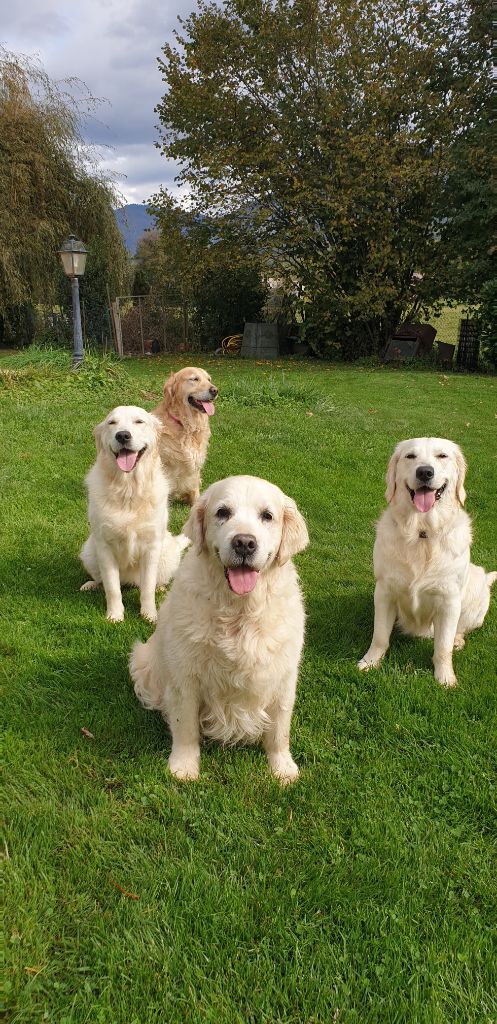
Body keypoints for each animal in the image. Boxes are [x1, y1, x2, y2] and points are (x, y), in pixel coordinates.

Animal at [80, 407, 188, 622]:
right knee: (101, 580)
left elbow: (147, 588)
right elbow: (112, 587)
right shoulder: (104, 546)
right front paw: (115, 615)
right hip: (89, 551)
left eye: (139, 421)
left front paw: (149, 615)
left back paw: (160, 588)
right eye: (112, 423)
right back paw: (91, 585)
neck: (128, 489)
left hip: (168, 555)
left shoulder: (151, 546)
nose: (122, 435)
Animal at [129, 473, 307, 782]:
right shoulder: (185, 675)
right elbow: (185, 727)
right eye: (222, 512)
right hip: (142, 659)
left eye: (267, 516)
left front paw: (283, 768)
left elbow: (279, 730)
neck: (239, 610)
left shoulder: (283, 677)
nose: (244, 543)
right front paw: (183, 766)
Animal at [358, 438, 493, 688]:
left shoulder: (449, 599)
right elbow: (380, 636)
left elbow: (443, 647)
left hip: (477, 584)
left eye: (442, 456)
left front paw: (445, 677)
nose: (425, 472)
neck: (422, 532)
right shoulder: (384, 590)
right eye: (410, 456)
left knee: (458, 630)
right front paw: (370, 662)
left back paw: (458, 640)